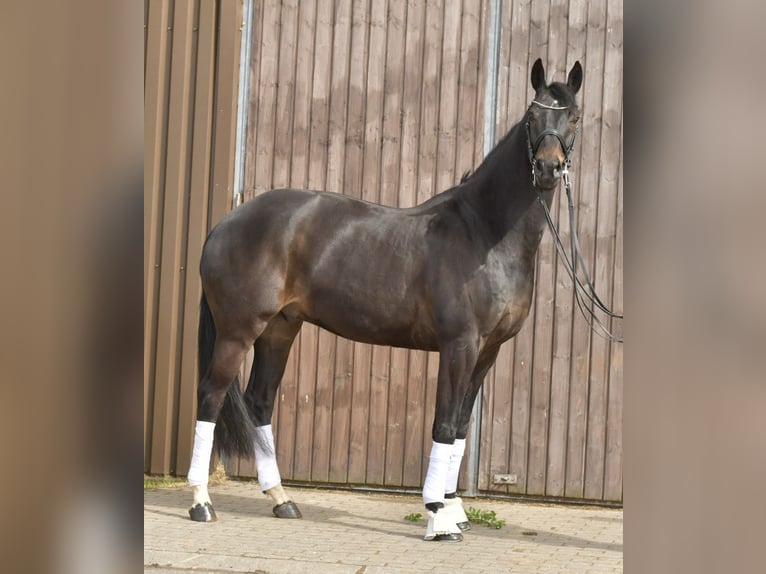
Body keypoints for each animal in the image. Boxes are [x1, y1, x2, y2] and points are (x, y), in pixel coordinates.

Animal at [186, 58, 583, 542]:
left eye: (574, 117)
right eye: (531, 116)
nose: (547, 168)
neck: (484, 231)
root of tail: (228, 220)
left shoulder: (488, 352)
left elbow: (462, 426)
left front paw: (454, 508)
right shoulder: (459, 345)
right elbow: (444, 423)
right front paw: (438, 516)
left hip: (280, 329)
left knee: (260, 401)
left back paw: (282, 500)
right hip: (238, 330)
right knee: (210, 395)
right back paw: (201, 502)